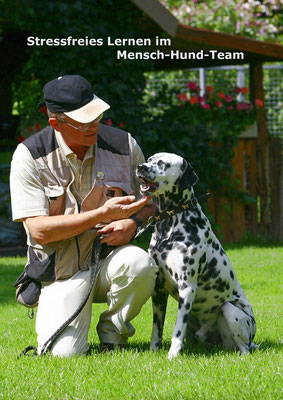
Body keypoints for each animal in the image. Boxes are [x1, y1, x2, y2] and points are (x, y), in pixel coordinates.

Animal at [136, 152, 258, 360]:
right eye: (150, 159)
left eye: (162, 164)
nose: (140, 167)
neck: (170, 225)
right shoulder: (158, 290)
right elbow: (156, 329)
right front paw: (154, 350)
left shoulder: (187, 288)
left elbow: (177, 331)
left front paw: (172, 355)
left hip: (229, 310)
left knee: (245, 348)